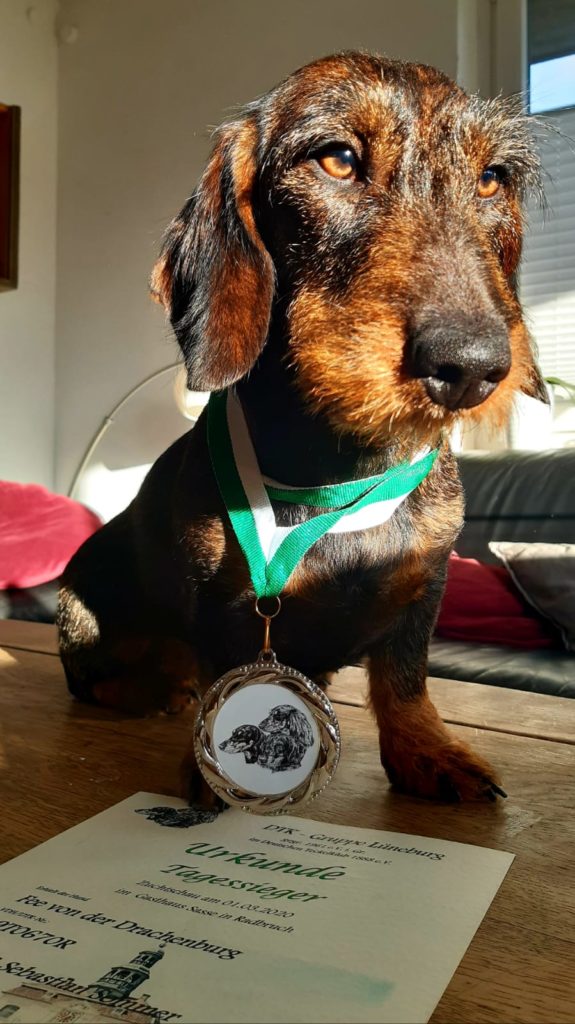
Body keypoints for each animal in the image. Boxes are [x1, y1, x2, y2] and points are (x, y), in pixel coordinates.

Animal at [58, 52, 545, 807]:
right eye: (337, 159)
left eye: (493, 177)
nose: (470, 366)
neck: (340, 465)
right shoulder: (218, 606)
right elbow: (225, 668)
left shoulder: (427, 582)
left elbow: (405, 678)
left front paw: (426, 751)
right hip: (77, 609)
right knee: (101, 678)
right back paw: (159, 688)